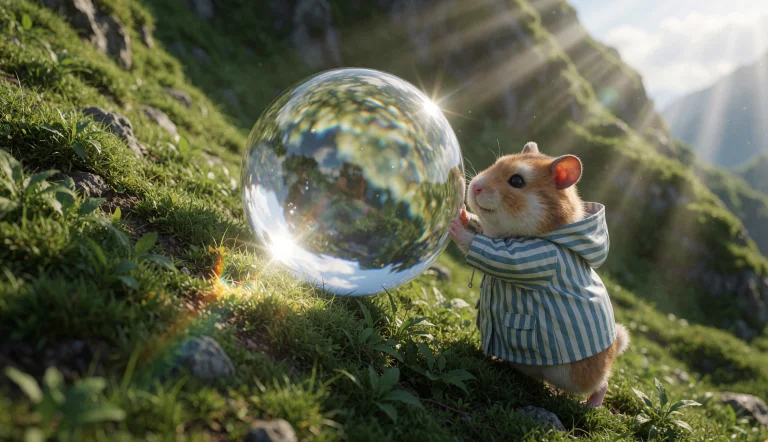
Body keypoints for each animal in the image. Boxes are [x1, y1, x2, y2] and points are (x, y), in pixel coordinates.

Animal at [449, 141, 629, 408]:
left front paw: (455, 224)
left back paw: (590, 405)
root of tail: (614, 346)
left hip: (575, 375)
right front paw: (463, 214)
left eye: (517, 181)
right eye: (496, 163)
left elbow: (488, 250)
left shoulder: (531, 261)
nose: (474, 186)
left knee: (602, 384)